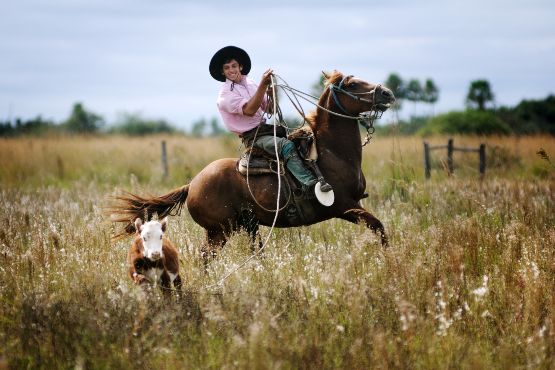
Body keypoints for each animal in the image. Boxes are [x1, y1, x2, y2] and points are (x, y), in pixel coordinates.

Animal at [111, 71, 396, 262]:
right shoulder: (345, 207)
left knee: (251, 252)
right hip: (219, 231)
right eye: (352, 83)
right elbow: (379, 228)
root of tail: (192, 184)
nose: (387, 93)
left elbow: (379, 229)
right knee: (207, 257)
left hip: (246, 226)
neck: (331, 154)